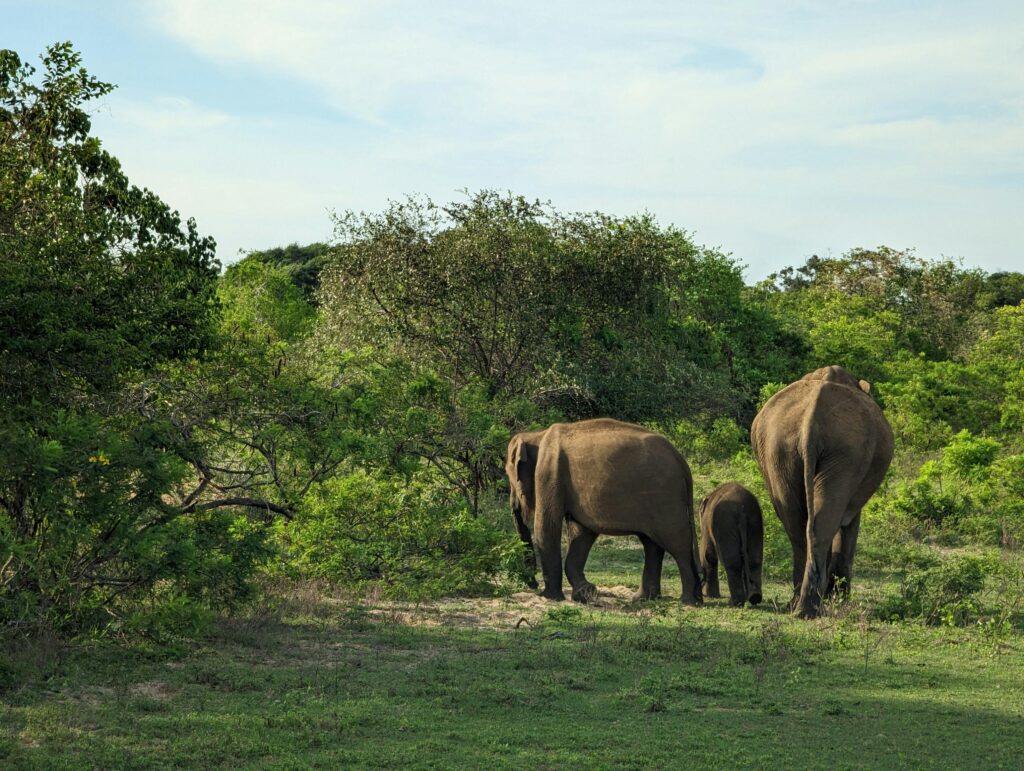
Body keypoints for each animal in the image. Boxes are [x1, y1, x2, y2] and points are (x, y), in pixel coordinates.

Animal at [505, 417, 704, 606]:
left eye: (509, 476)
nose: (533, 584)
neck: (537, 435)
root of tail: (681, 462)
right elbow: (582, 533)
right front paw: (585, 593)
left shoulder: (548, 474)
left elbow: (547, 528)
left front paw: (550, 597)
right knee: (652, 544)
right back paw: (644, 599)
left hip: (665, 497)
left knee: (676, 542)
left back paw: (688, 600)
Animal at [749, 364, 892, 618]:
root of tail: (810, 422)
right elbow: (849, 522)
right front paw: (839, 598)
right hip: (847, 452)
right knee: (822, 522)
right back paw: (812, 608)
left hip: (779, 451)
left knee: (798, 526)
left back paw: (798, 607)